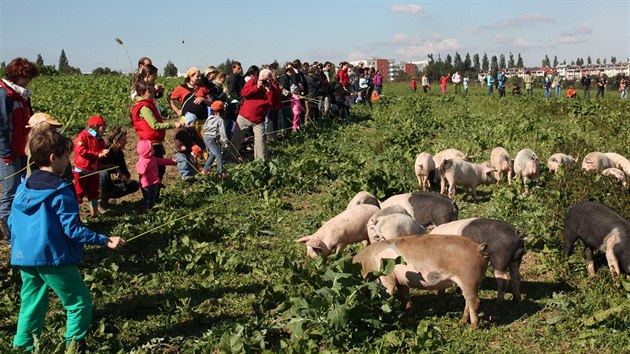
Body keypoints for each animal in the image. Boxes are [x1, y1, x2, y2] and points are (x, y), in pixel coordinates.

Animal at [354, 235, 492, 330]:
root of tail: (478, 249)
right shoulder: (401, 281)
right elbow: (405, 295)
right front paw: (409, 311)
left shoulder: (387, 278)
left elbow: (387, 295)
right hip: (472, 282)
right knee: (468, 301)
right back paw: (461, 322)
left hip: (469, 278)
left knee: (475, 301)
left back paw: (473, 328)